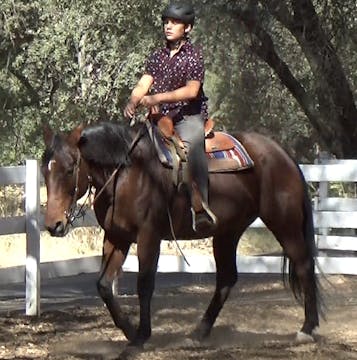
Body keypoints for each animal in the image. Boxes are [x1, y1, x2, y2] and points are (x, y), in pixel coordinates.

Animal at [41, 120, 322, 348]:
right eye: (45, 170)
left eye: (70, 169)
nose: (54, 224)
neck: (128, 173)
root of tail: (282, 154)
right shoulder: (116, 237)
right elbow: (103, 285)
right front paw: (129, 331)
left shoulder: (149, 236)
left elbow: (144, 284)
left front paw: (142, 335)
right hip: (228, 232)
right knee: (227, 278)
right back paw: (198, 332)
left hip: (283, 222)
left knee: (304, 264)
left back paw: (307, 329)